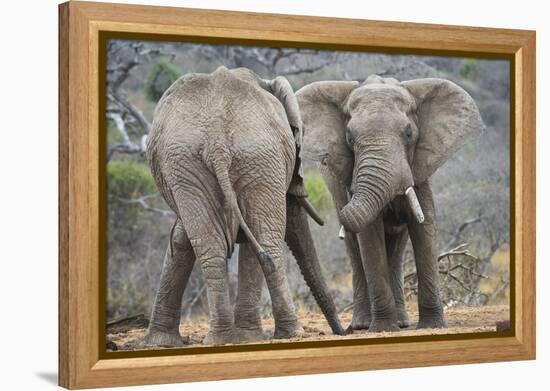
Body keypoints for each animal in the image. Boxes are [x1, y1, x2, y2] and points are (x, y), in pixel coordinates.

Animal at [142, 66, 344, 346]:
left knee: (217, 245)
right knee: (264, 239)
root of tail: (216, 138)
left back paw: (224, 338)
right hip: (246, 158)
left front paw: (158, 342)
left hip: (200, 163)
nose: (343, 331)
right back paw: (284, 334)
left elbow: (181, 239)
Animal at [298, 76, 484, 334]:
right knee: (355, 249)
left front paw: (433, 325)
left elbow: (425, 227)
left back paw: (403, 322)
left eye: (409, 134)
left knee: (396, 246)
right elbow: (369, 235)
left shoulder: (420, 170)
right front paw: (384, 328)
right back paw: (364, 324)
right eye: (349, 138)